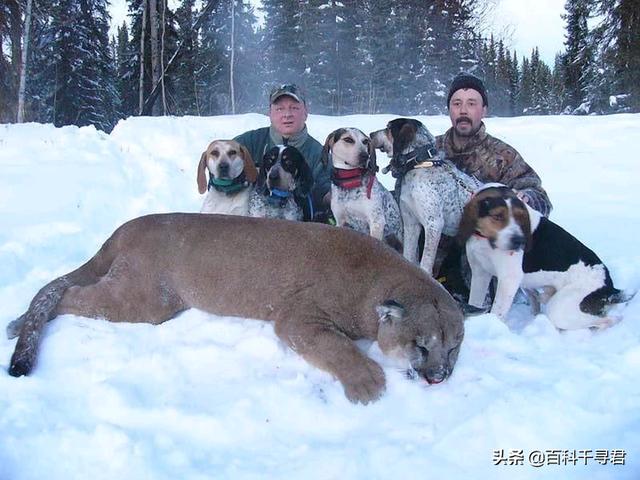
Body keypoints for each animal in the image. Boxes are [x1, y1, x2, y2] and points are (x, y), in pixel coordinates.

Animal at [7, 214, 462, 404]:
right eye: (421, 345)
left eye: (454, 348)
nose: (439, 376)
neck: (373, 282)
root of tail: (124, 227)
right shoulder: (297, 318)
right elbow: (336, 347)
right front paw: (367, 383)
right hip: (144, 299)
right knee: (70, 294)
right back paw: (18, 323)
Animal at [368, 117, 482, 274]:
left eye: (388, 127)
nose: (371, 134)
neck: (420, 164)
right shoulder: (411, 222)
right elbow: (408, 256)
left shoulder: (434, 224)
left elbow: (425, 264)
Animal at [458, 184, 632, 330]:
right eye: (497, 216)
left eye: (521, 217)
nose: (519, 241)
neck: (485, 239)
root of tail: (609, 288)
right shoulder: (480, 273)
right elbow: (474, 302)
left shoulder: (509, 279)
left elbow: (497, 312)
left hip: (560, 308)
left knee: (607, 320)